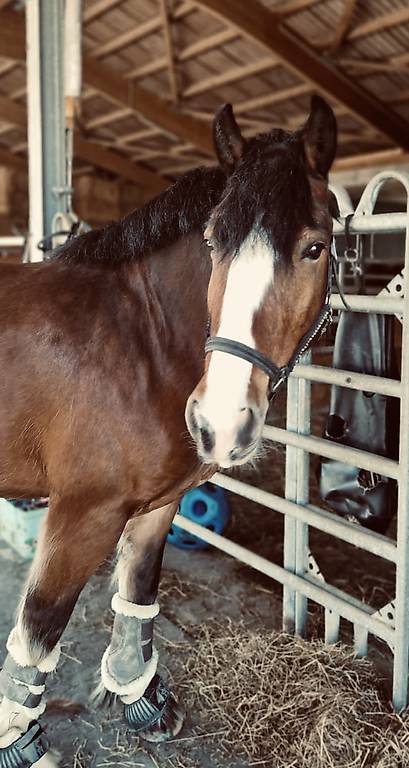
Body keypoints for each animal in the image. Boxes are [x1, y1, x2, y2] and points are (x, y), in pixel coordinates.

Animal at [0, 95, 337, 766]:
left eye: (314, 248)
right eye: (212, 241)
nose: (220, 421)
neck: (139, 340)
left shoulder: (158, 503)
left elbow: (137, 590)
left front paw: (140, 698)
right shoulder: (83, 513)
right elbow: (40, 625)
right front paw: (21, 742)